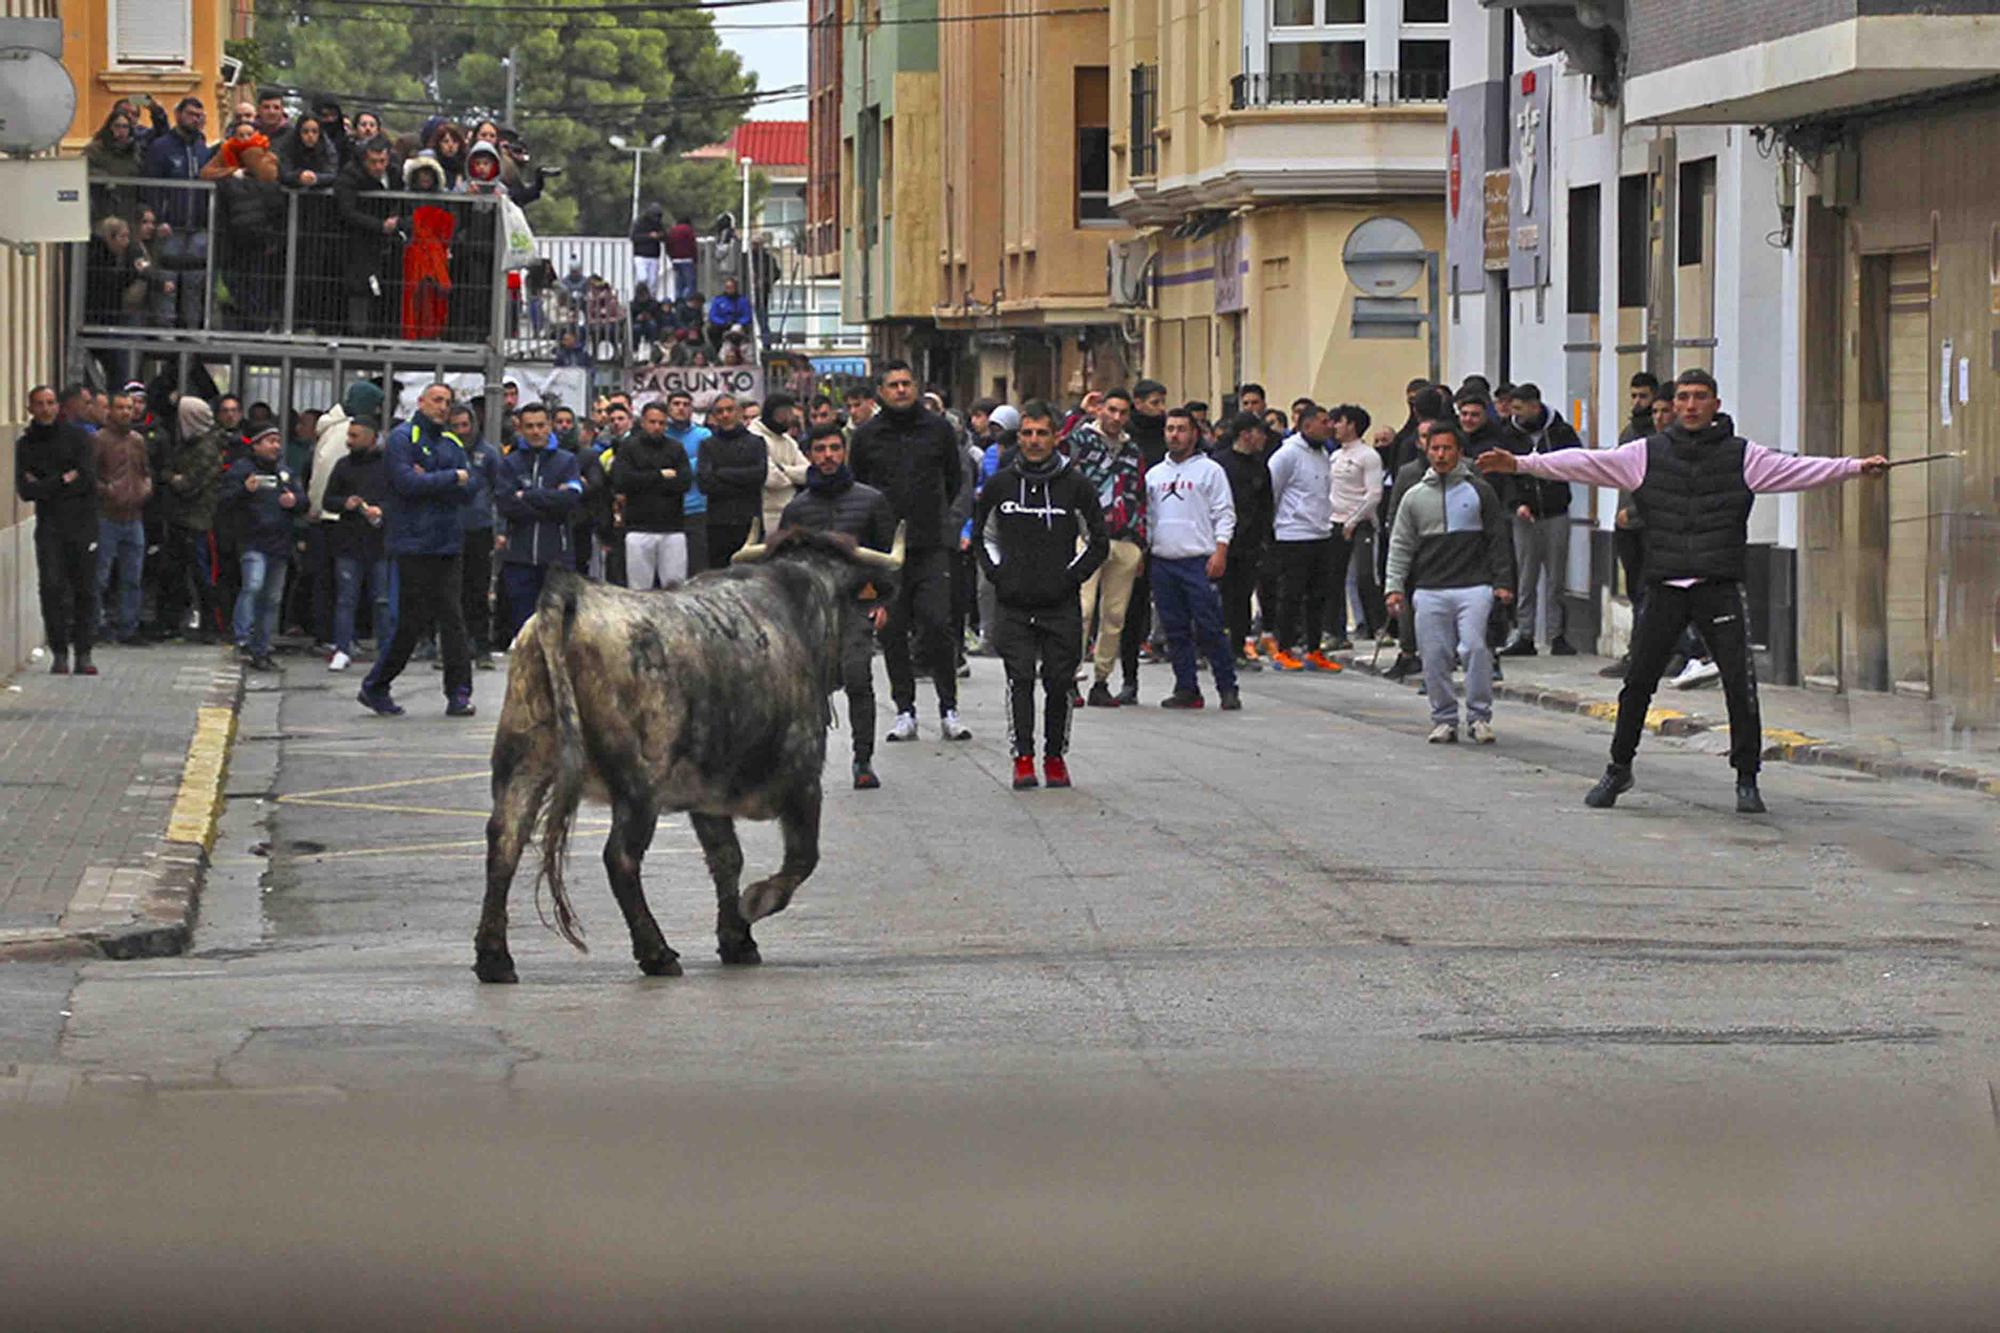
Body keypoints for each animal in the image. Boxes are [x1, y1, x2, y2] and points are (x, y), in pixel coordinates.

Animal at [472, 524, 904, 980]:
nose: (867, 642)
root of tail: (573, 595)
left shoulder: (707, 793)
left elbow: (727, 857)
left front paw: (737, 939)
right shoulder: (803, 779)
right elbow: (802, 857)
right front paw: (756, 903)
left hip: (524, 759)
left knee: (505, 840)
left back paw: (494, 957)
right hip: (639, 786)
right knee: (620, 857)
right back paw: (657, 952)